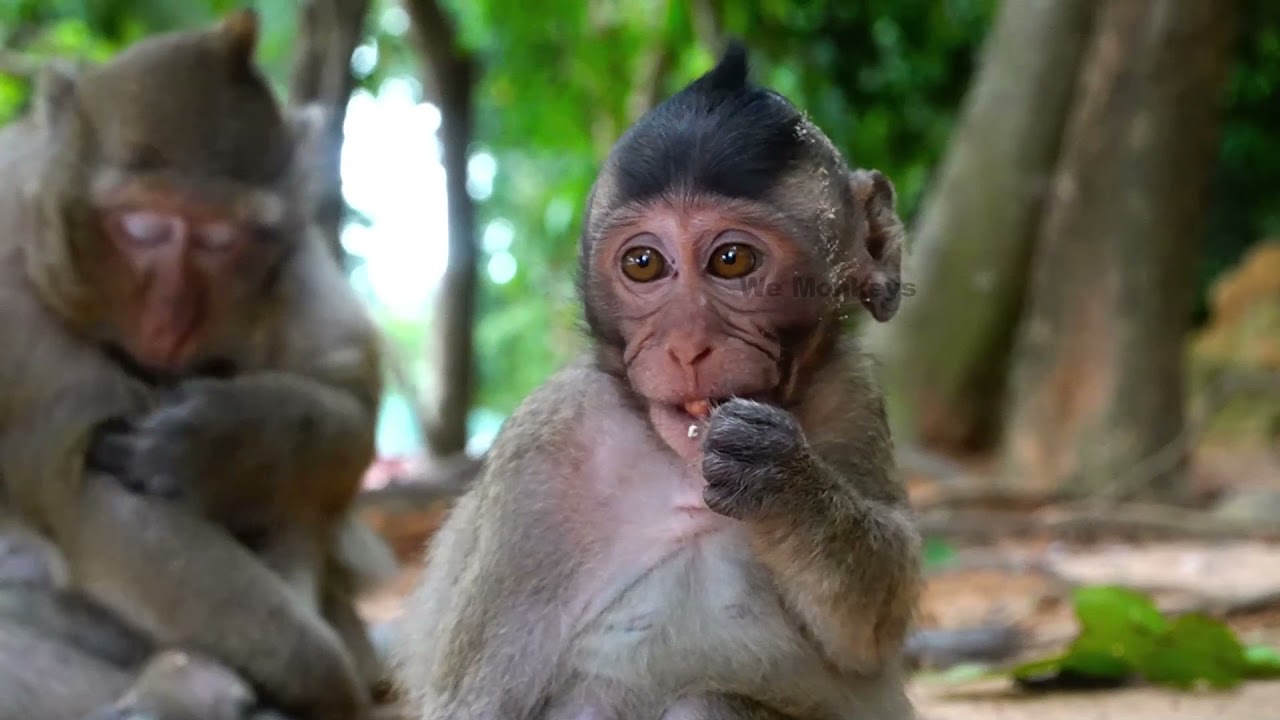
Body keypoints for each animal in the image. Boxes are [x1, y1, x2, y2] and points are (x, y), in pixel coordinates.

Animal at [0, 11, 386, 719]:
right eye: (142, 229)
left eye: (219, 241)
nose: (172, 316)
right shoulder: (10, 288)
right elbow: (91, 498)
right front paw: (325, 682)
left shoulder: (293, 258)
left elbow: (349, 407)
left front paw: (225, 440)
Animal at [394, 43, 920, 720]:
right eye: (643, 263)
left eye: (732, 260)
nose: (685, 344)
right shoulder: (538, 455)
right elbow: (475, 701)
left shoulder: (851, 395)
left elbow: (868, 628)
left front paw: (784, 482)